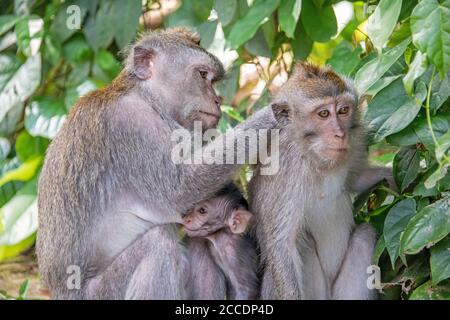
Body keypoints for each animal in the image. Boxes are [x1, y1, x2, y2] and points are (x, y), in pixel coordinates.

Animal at [37, 28, 286, 300]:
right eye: (202, 75)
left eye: (213, 80)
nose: (217, 100)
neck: (147, 99)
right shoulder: (133, 123)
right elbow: (178, 191)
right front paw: (277, 111)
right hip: (100, 294)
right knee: (158, 244)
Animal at [248, 62, 384, 300]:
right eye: (323, 114)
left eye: (343, 110)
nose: (340, 134)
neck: (313, 157)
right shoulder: (286, 170)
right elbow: (283, 245)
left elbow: (356, 178)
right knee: (302, 242)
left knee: (365, 235)